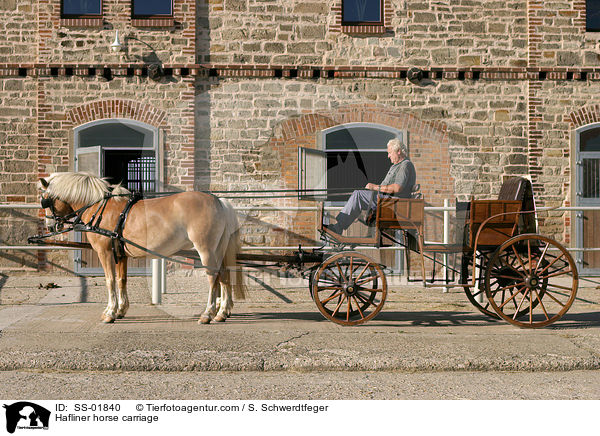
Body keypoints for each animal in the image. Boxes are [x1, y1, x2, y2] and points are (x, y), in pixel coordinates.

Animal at [38, 172, 246, 326]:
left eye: (45, 200)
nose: (50, 226)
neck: (100, 207)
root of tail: (219, 201)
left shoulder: (105, 253)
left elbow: (110, 280)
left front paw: (109, 313)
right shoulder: (120, 254)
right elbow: (121, 280)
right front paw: (121, 310)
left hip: (206, 249)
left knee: (213, 277)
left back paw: (207, 314)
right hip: (218, 249)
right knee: (225, 275)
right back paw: (222, 312)